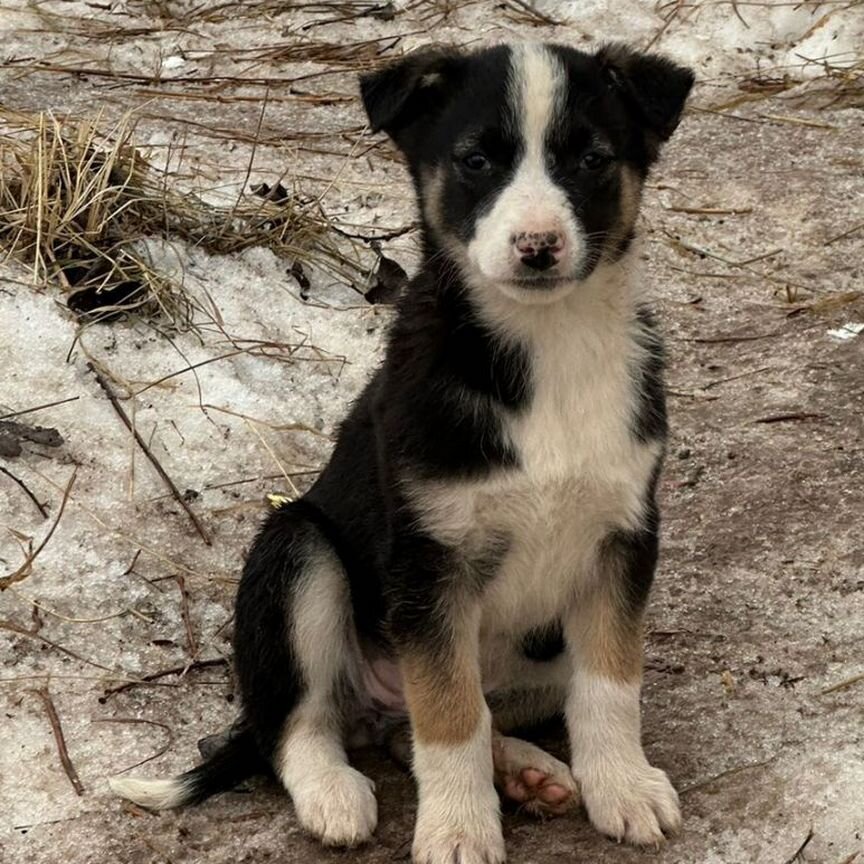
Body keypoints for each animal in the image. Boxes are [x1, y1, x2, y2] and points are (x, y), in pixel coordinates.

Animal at [113, 40, 696, 864]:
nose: (538, 247)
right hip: (297, 549)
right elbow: (448, 714)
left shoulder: (623, 535)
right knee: (304, 722)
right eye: (476, 160)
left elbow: (610, 684)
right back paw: (335, 792)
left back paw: (527, 772)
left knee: (420, 725)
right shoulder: (429, 559)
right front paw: (458, 830)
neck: (545, 344)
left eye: (592, 159)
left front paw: (622, 786)